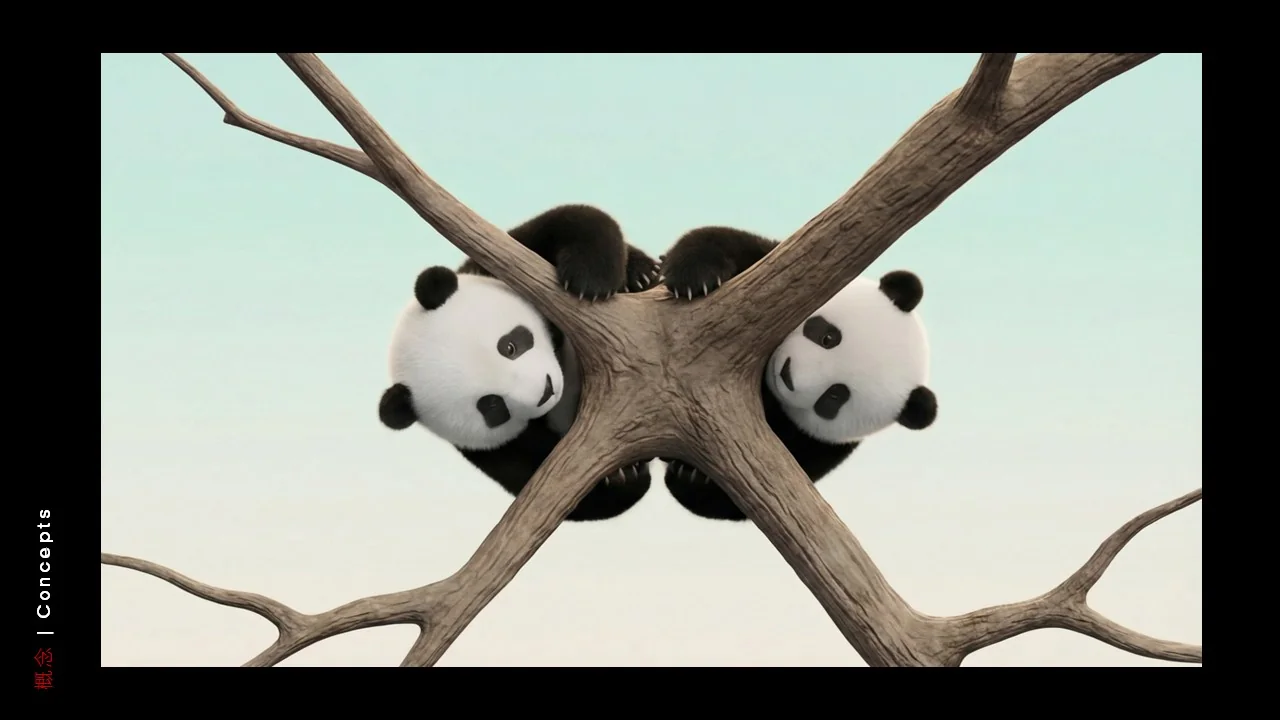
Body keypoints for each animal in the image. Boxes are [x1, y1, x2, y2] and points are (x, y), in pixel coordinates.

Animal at [378, 204, 663, 522]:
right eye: (492, 405)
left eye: (509, 346)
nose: (546, 391)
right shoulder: (493, 450)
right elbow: (550, 485)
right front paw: (625, 475)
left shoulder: (497, 266)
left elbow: (568, 222)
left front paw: (590, 282)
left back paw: (641, 274)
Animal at [658, 226, 939, 521]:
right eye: (829, 337)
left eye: (835, 396)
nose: (788, 376)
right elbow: (732, 244)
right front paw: (694, 277)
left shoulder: (822, 445)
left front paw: (690, 477)